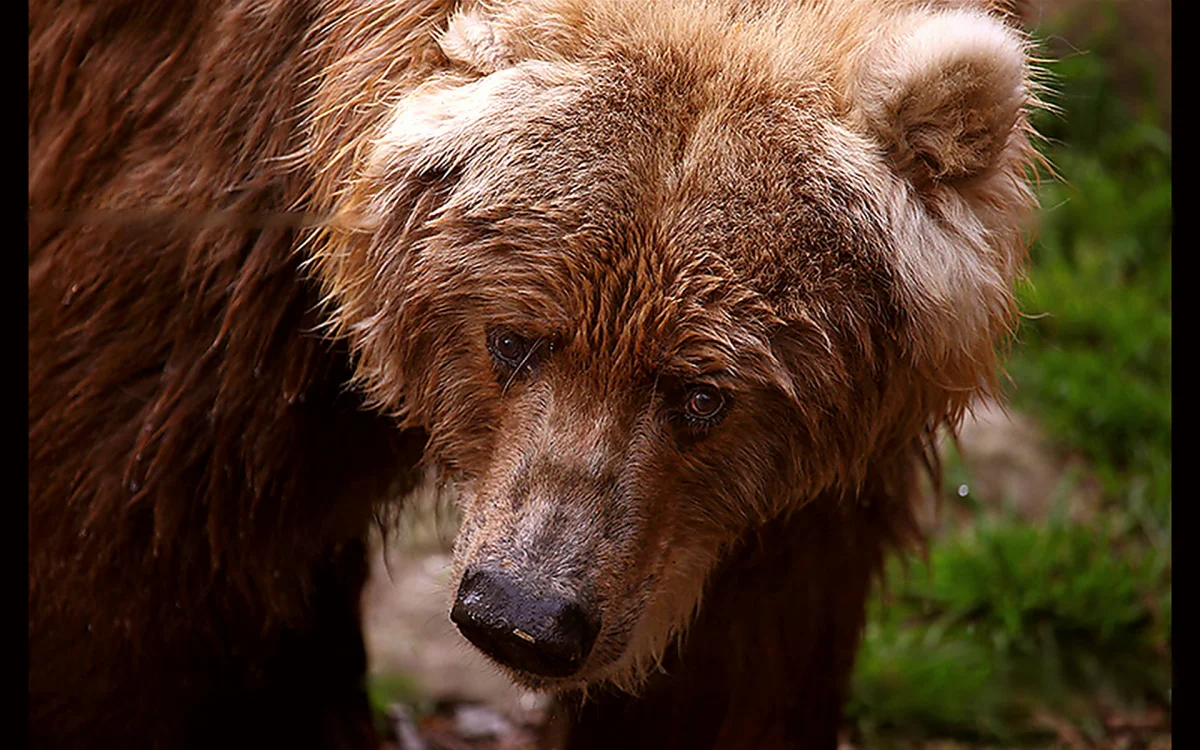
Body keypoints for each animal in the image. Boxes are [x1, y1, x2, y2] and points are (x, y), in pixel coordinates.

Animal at [28, 1, 1040, 748]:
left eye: (703, 391)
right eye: (512, 338)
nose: (522, 613)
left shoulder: (769, 498)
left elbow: (747, 648)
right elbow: (132, 571)